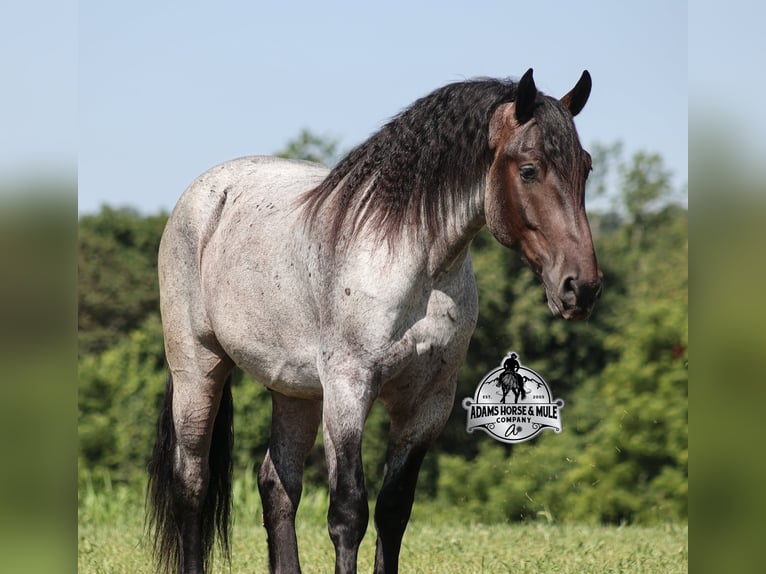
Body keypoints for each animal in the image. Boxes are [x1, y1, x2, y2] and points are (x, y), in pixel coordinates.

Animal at [147, 68, 602, 574]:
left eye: (585, 168)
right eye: (529, 170)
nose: (580, 288)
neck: (416, 264)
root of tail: (205, 195)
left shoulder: (427, 405)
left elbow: (393, 511)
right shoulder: (349, 390)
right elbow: (348, 514)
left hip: (295, 392)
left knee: (277, 485)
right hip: (198, 370)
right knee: (192, 483)